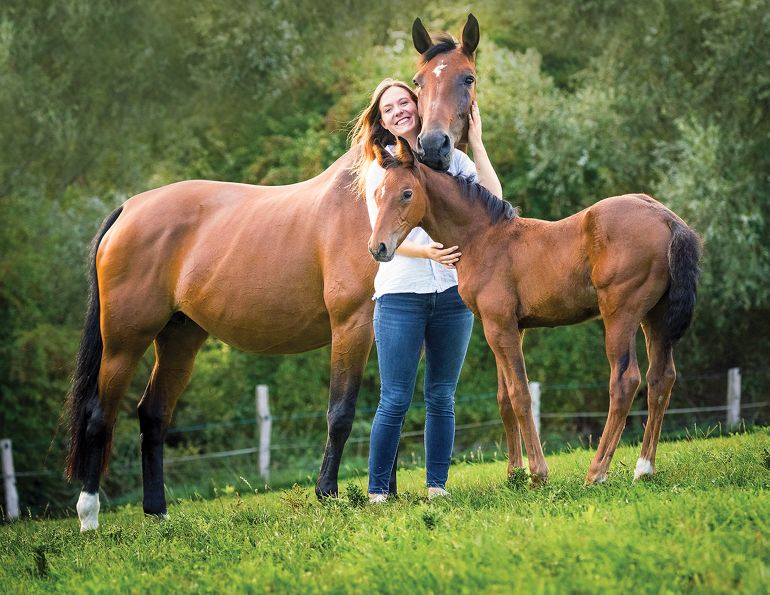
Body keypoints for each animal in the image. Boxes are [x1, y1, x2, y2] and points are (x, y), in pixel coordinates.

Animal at [65, 15, 483, 531]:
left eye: (467, 78)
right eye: (420, 82)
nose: (432, 146)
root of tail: (128, 209)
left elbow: (396, 405)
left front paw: (384, 491)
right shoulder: (352, 325)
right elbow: (341, 411)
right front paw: (328, 494)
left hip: (180, 336)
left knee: (153, 414)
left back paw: (157, 511)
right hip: (125, 339)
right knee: (100, 415)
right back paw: (89, 517)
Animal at [368, 138, 702, 485]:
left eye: (407, 193)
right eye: (377, 193)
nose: (378, 247)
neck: (482, 238)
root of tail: (667, 218)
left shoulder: (499, 326)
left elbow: (520, 395)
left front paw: (538, 473)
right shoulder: (509, 327)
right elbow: (504, 398)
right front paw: (514, 473)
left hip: (620, 315)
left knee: (626, 381)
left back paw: (596, 472)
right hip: (655, 319)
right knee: (661, 379)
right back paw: (644, 469)